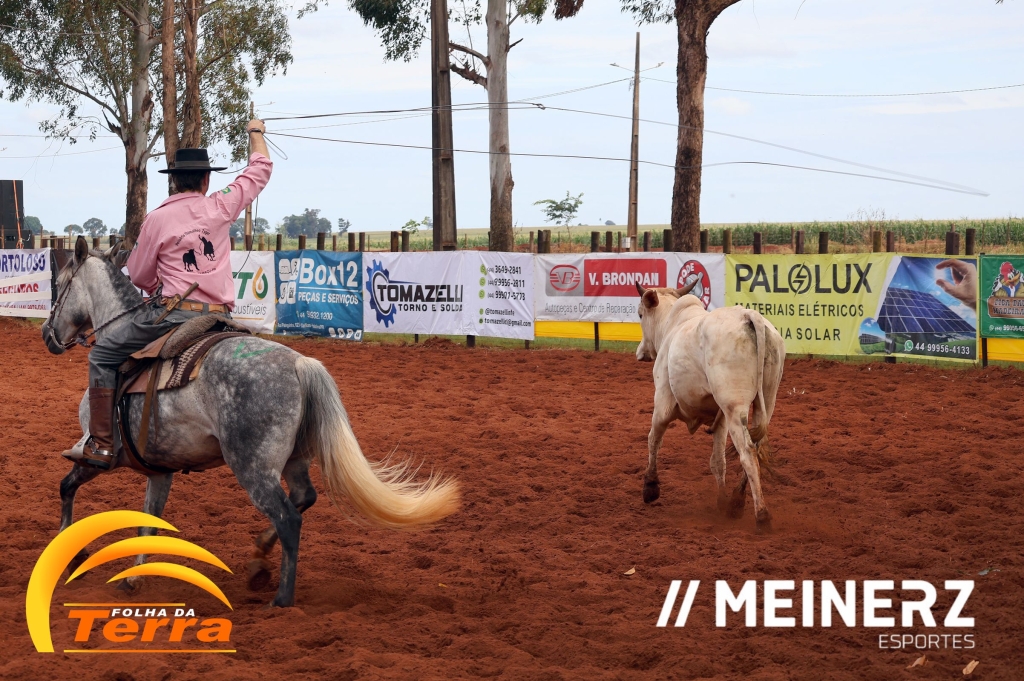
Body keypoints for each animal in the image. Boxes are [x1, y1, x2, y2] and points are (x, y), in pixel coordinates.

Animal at [41, 237, 460, 607]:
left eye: (60, 285)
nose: (48, 335)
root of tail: (299, 363)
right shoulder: (160, 470)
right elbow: (149, 522)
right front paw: (133, 578)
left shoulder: (100, 457)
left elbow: (66, 485)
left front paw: (70, 552)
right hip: (292, 460)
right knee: (304, 498)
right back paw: (259, 561)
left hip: (252, 467)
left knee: (289, 517)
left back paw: (282, 599)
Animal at [635, 280, 785, 532]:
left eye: (639, 314)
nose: (641, 352)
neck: (672, 325)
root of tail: (748, 315)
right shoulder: (720, 419)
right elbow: (718, 462)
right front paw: (721, 502)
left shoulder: (662, 404)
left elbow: (653, 439)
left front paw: (650, 487)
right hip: (765, 401)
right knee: (755, 447)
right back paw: (735, 502)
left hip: (735, 408)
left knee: (748, 453)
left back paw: (762, 516)